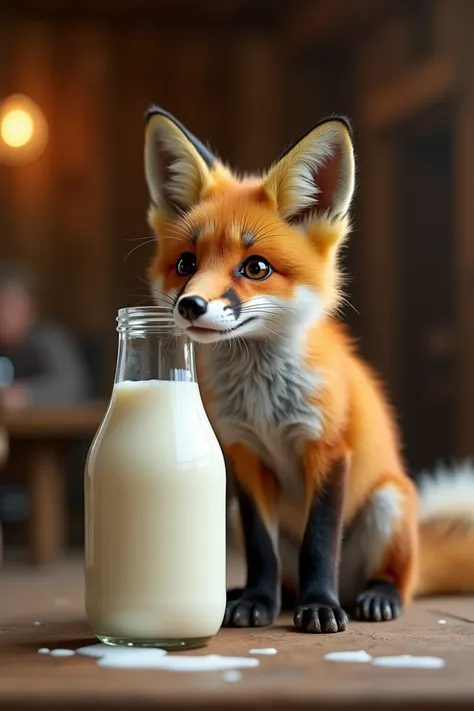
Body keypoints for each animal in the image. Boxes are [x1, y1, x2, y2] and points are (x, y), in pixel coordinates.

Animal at [143, 107, 474, 636]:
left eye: (256, 268)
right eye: (186, 263)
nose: (190, 305)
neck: (264, 404)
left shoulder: (327, 448)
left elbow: (319, 544)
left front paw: (320, 608)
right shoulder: (245, 456)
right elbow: (262, 552)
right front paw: (256, 601)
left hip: (388, 504)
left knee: (391, 581)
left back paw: (370, 597)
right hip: (235, 513)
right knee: (285, 575)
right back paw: (261, 597)